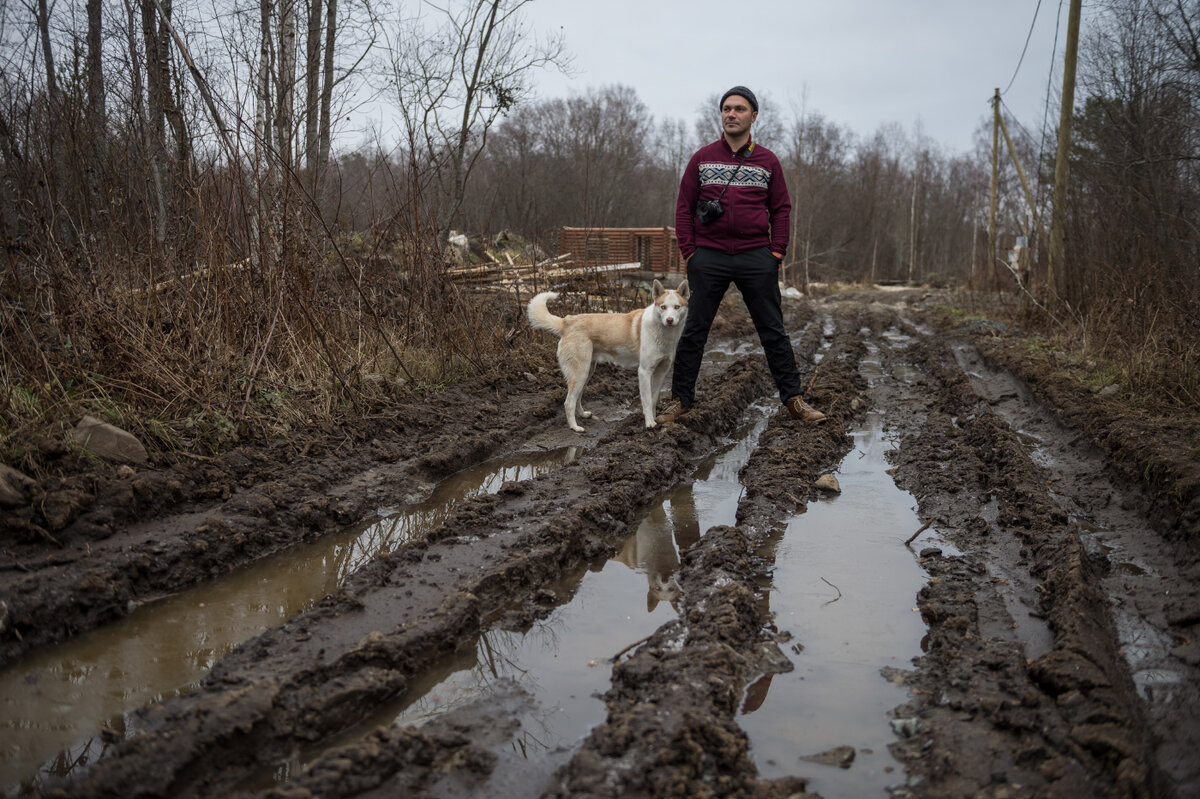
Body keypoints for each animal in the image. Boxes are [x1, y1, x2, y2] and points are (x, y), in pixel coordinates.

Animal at [528, 278, 691, 431]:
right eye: (663, 307)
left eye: (677, 307)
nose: (669, 320)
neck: (663, 333)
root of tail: (566, 321)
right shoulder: (644, 372)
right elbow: (646, 400)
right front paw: (649, 423)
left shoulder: (661, 372)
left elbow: (654, 399)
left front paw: (656, 419)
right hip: (580, 372)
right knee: (569, 402)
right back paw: (575, 427)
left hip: (587, 372)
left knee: (577, 397)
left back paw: (582, 415)